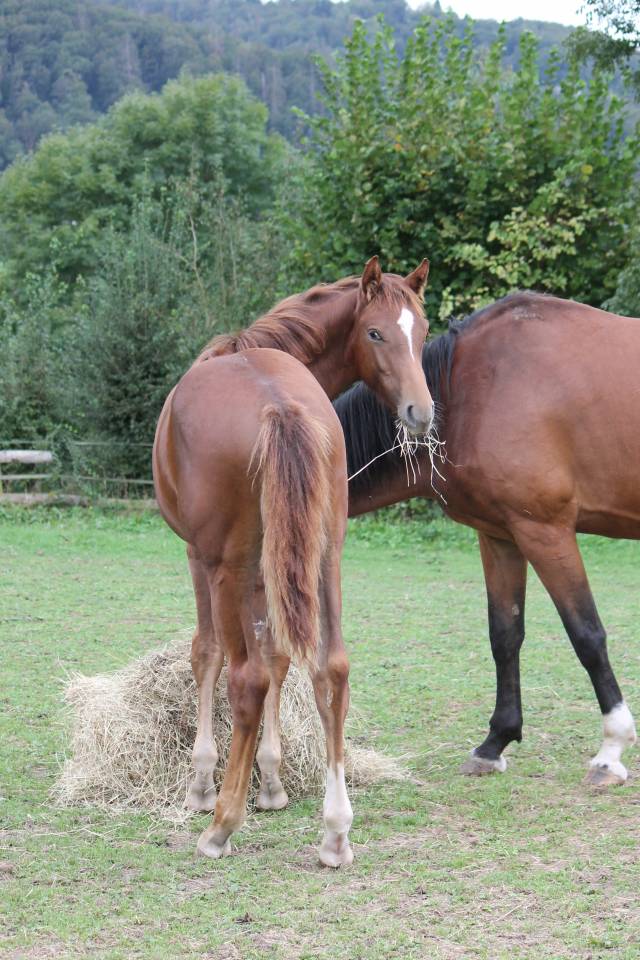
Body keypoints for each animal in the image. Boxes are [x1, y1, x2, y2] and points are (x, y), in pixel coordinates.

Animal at [153, 256, 431, 865]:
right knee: (332, 669)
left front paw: (203, 783)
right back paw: (335, 830)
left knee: (246, 677)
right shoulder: (277, 566)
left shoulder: (202, 558)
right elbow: (283, 656)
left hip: (225, 567)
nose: (420, 413)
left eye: (421, 333)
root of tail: (278, 404)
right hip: (326, 560)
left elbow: (210, 655)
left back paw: (221, 824)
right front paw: (273, 781)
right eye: (377, 333)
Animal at [334, 291, 638, 787]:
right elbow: (505, 634)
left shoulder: (546, 531)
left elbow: (587, 635)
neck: (472, 390)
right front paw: (496, 741)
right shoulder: (500, 536)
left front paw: (611, 751)